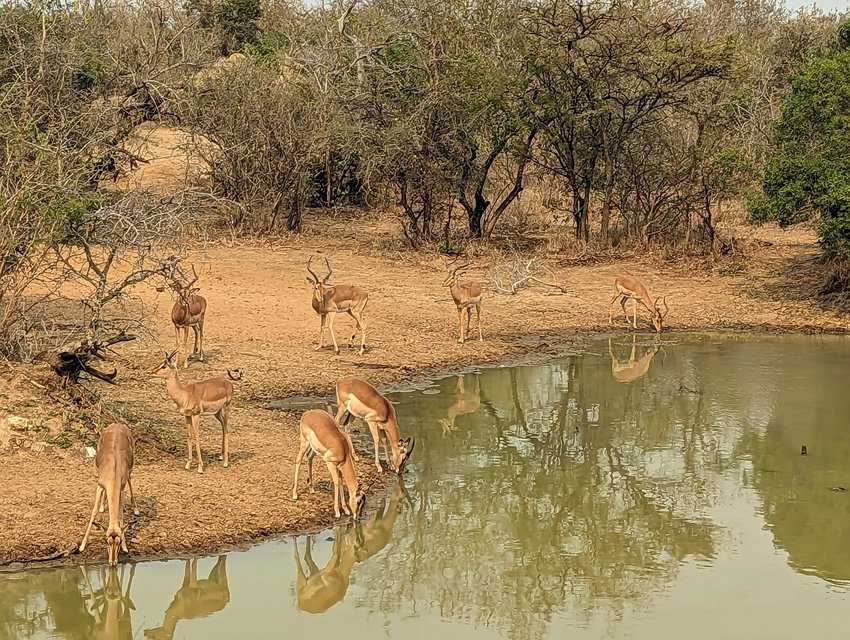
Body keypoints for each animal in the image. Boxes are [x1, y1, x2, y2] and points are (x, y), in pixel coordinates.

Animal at [79, 423, 139, 566]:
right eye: (107, 541)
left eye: (118, 542)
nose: (112, 562)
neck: (113, 471)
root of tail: (117, 424)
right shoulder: (100, 486)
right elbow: (93, 512)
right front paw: (82, 546)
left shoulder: (121, 489)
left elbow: (120, 515)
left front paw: (125, 547)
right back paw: (102, 506)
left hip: (130, 469)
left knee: (130, 480)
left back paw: (136, 509)